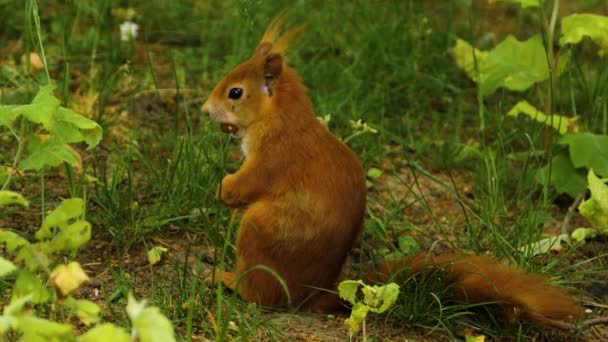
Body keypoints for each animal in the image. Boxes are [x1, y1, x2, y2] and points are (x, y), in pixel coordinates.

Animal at [203, 13, 584, 328]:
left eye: (235, 92)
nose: (206, 110)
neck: (281, 117)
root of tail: (310, 295)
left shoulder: (274, 156)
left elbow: (248, 184)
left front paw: (223, 189)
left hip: (259, 233)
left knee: (258, 294)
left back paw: (226, 279)